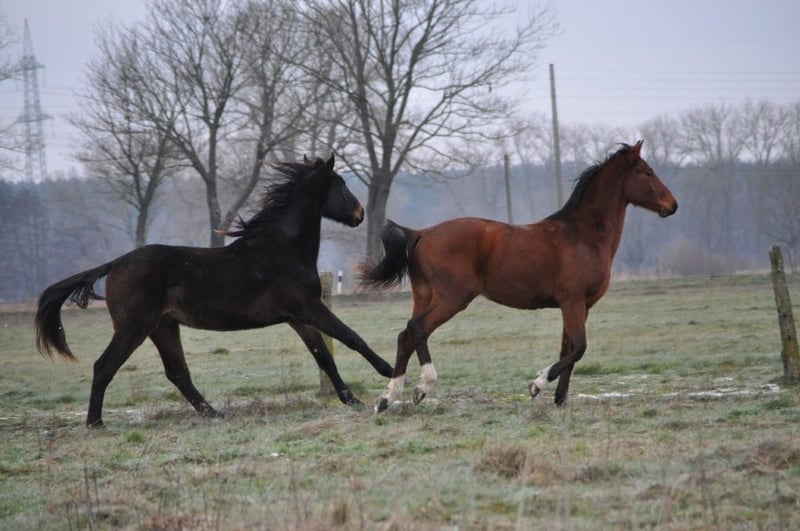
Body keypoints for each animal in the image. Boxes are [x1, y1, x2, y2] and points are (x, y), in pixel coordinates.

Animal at [35, 154, 394, 427]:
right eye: (341, 184)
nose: (360, 214)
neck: (285, 248)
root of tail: (115, 264)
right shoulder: (309, 308)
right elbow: (352, 338)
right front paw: (389, 372)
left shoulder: (298, 318)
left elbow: (324, 357)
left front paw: (354, 400)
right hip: (134, 327)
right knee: (105, 366)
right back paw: (95, 422)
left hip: (163, 327)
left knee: (177, 373)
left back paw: (215, 413)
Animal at [359, 141, 677, 413]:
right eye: (647, 172)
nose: (672, 205)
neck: (582, 235)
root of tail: (421, 233)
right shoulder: (572, 301)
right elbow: (579, 347)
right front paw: (537, 384)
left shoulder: (580, 305)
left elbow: (569, 349)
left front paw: (560, 399)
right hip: (453, 297)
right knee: (416, 330)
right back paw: (409, 391)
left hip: (425, 296)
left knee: (409, 335)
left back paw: (397, 395)